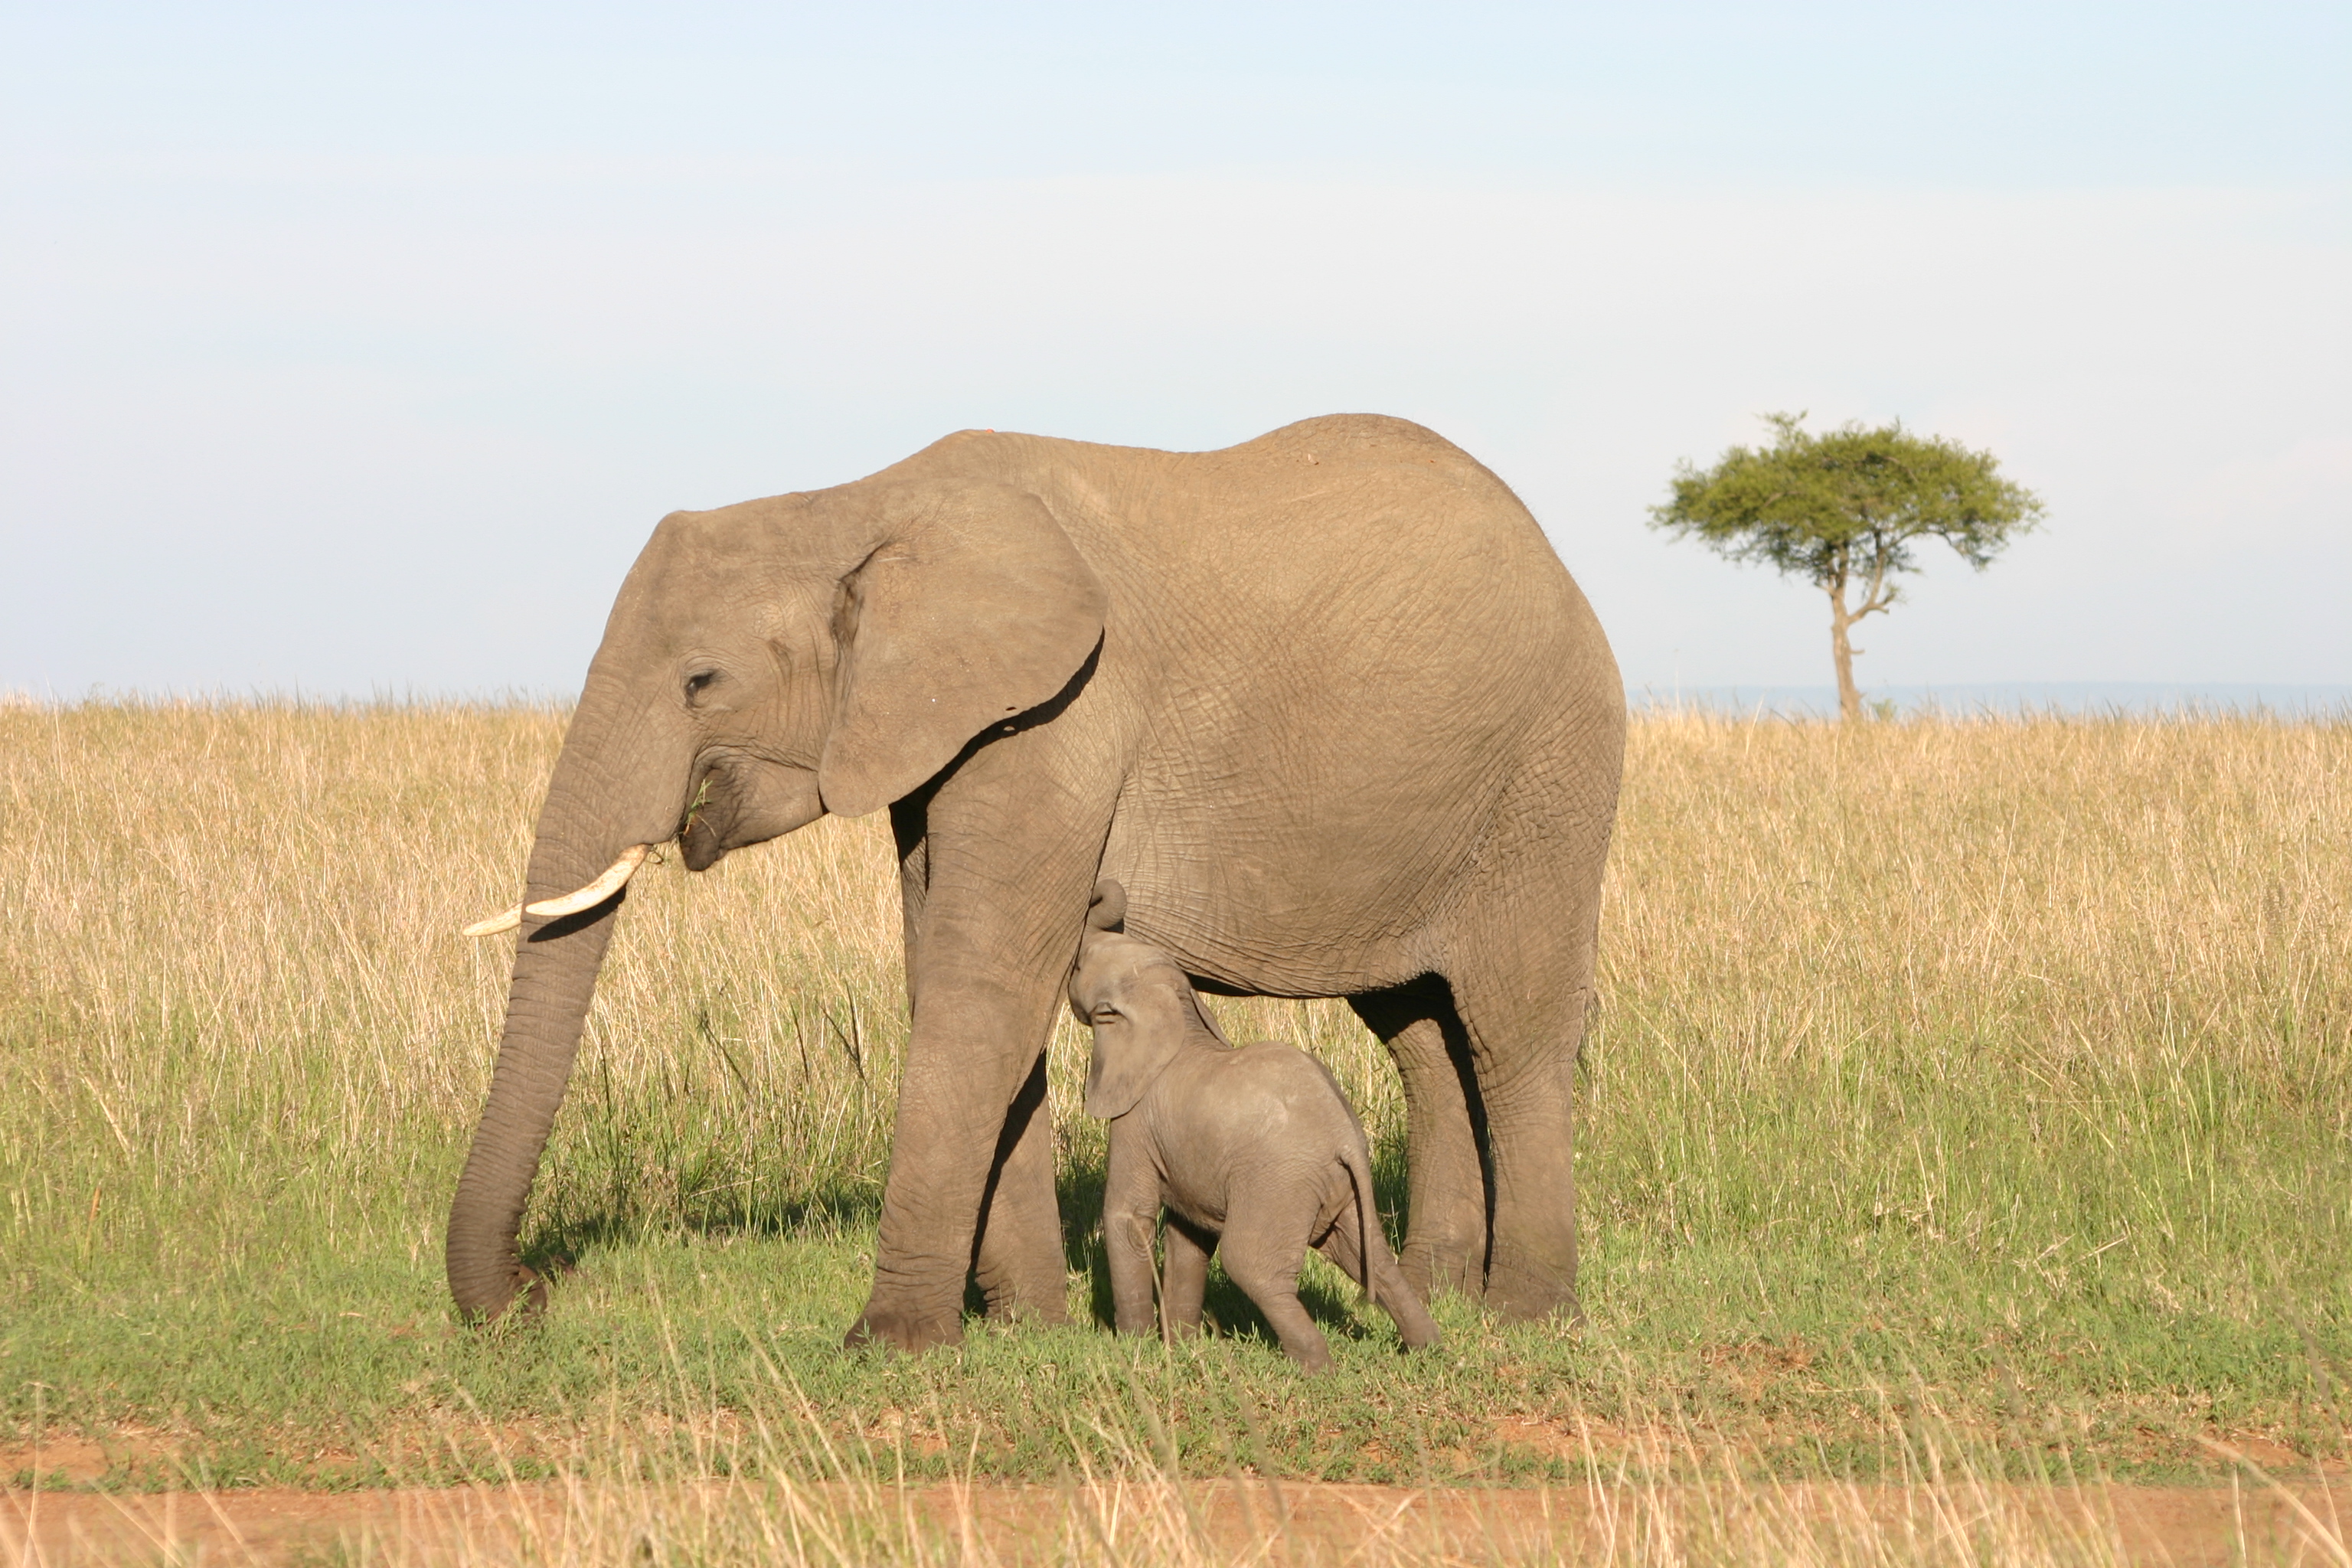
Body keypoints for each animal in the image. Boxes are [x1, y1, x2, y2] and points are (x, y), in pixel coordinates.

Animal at [1073, 880, 1440, 1370]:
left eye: (1079, 964)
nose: (1100, 889)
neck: (1177, 1010)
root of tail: (1345, 1142)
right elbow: (1188, 1234)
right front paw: (1183, 1346)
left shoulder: (1136, 1119)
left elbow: (1128, 1217)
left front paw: (1135, 1349)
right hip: (1335, 1189)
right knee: (1371, 1258)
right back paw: (1429, 1348)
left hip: (1278, 1184)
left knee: (1251, 1266)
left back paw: (1316, 1369)